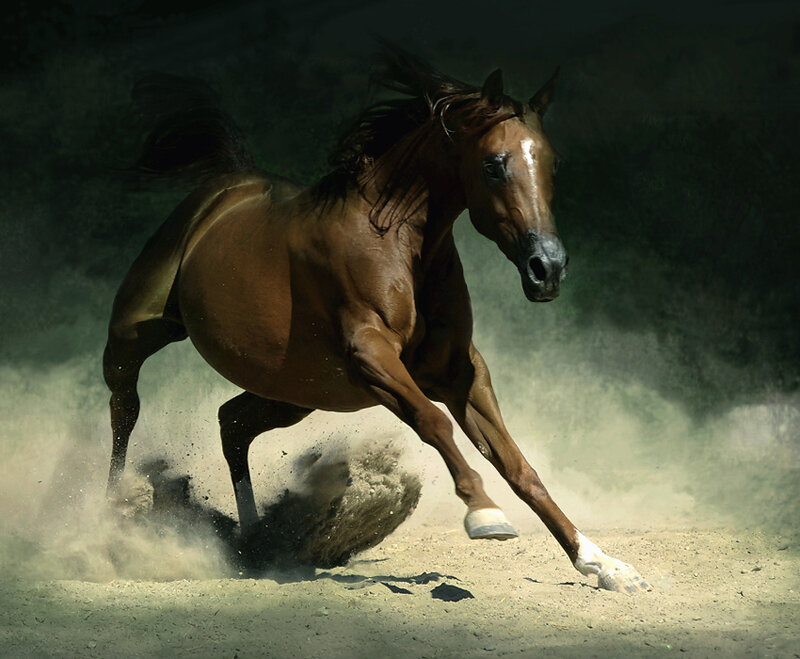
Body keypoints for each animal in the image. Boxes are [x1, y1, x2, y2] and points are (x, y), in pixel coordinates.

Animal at [104, 44, 648, 593]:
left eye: (553, 164)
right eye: (494, 165)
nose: (547, 268)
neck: (400, 242)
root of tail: (225, 189)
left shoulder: (460, 373)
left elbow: (520, 467)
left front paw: (602, 563)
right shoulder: (371, 356)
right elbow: (434, 423)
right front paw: (484, 513)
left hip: (296, 391)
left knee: (231, 423)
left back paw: (253, 544)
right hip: (135, 336)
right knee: (125, 407)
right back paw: (111, 518)